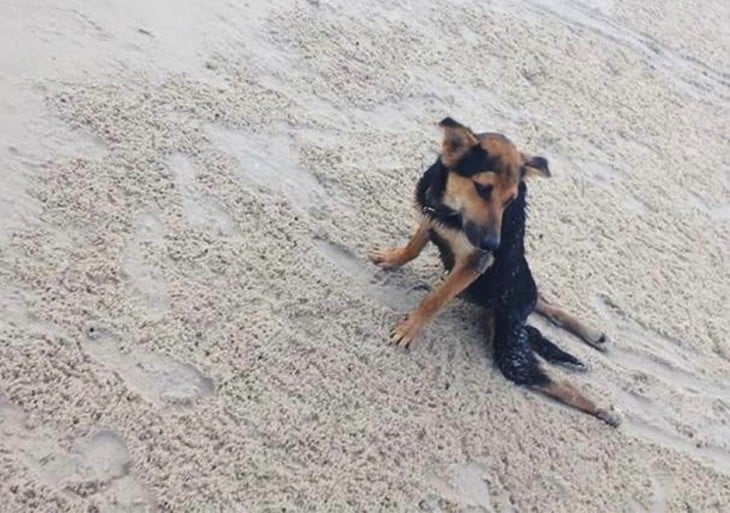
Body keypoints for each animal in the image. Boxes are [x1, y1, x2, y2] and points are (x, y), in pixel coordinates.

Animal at [372, 118, 616, 426]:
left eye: (510, 199)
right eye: (483, 188)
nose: (493, 244)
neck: (452, 210)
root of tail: (522, 311)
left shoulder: (475, 262)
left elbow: (434, 300)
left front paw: (409, 329)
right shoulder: (432, 216)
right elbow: (413, 248)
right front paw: (393, 258)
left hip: (509, 345)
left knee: (554, 381)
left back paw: (602, 409)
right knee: (544, 303)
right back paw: (593, 334)